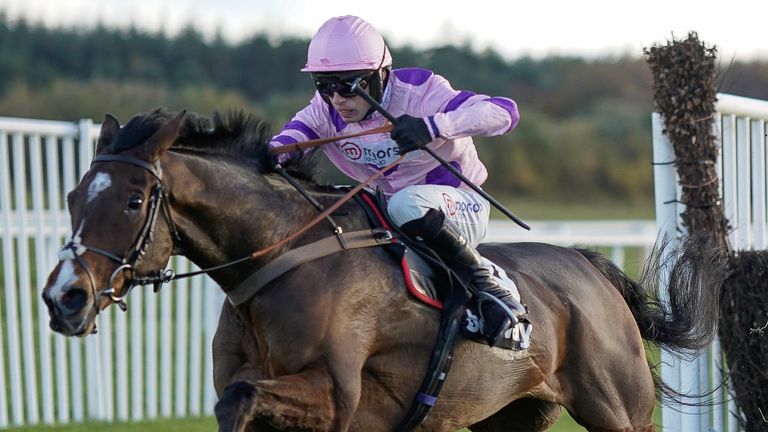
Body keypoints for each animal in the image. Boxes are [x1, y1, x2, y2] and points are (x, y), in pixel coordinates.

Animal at [40, 109, 728, 432]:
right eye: (71, 196)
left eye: (133, 201)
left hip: (620, 410)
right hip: (514, 415)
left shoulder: (336, 397)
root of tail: (588, 265)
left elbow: (241, 401)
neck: (282, 259)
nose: (63, 298)